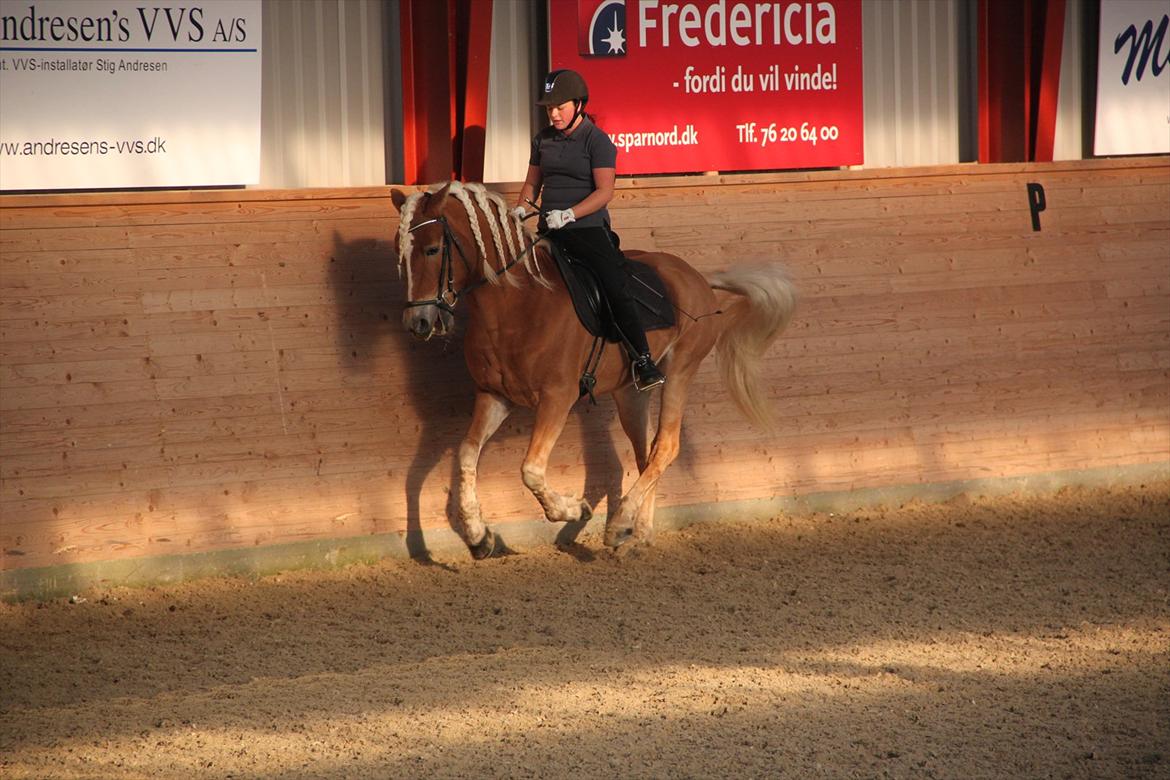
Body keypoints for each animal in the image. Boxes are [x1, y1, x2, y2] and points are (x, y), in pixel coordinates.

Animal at [393, 180, 795, 558]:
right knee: (646, 453)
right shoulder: (494, 396)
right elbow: (466, 456)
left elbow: (531, 470)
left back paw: (619, 524)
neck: (516, 305)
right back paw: (639, 533)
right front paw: (479, 537)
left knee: (666, 446)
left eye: (432, 249)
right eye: (401, 253)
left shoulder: (557, 397)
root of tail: (696, 277)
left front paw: (574, 510)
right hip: (630, 392)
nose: (419, 323)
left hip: (681, 370)